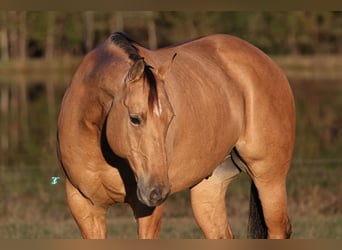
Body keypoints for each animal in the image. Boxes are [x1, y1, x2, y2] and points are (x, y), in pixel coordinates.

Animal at [57, 32, 296, 239]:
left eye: (170, 117)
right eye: (135, 118)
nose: (158, 191)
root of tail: (267, 61)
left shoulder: (146, 209)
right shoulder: (84, 206)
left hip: (268, 177)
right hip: (209, 188)